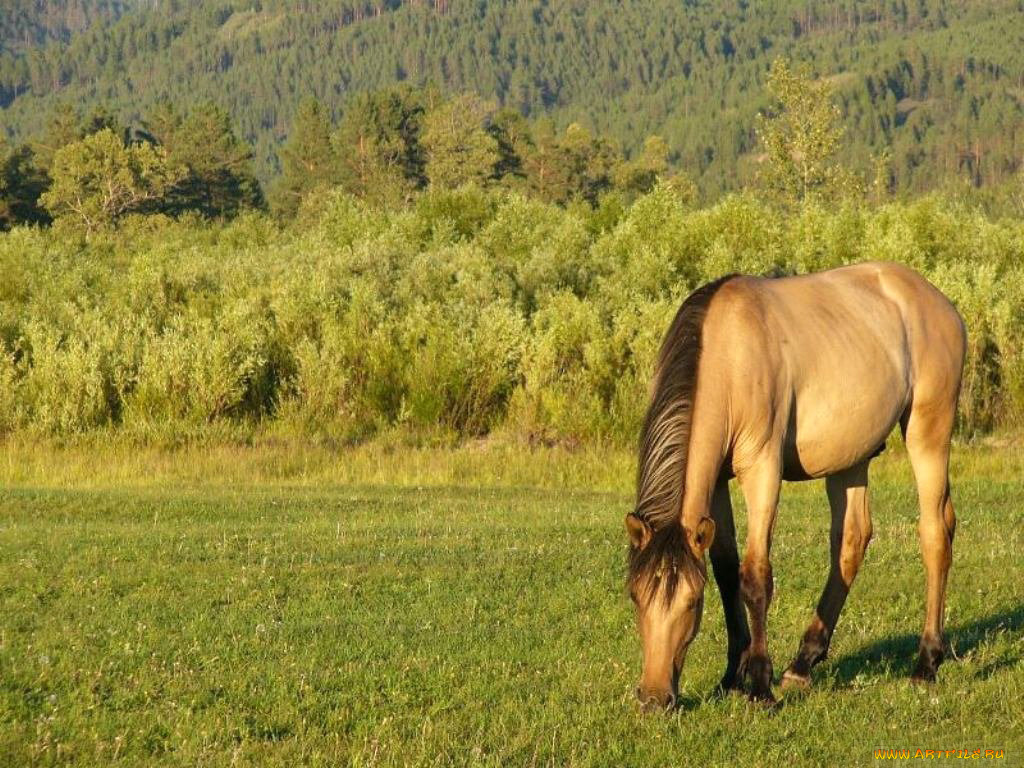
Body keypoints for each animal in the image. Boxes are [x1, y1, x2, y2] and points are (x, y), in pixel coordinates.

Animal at [622, 262, 966, 708]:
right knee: (852, 540)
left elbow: (754, 576)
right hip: (852, 454)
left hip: (928, 433)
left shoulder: (762, 470)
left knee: (935, 532)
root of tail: (940, 302)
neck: (727, 355)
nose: (654, 697)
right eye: (635, 594)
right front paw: (732, 675)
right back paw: (803, 664)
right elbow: (726, 569)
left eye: (692, 602)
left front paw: (758, 685)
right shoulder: (716, 482)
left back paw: (926, 663)